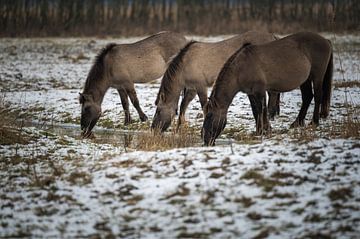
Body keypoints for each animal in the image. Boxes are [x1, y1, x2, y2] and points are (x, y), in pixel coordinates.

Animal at [150, 30, 278, 132]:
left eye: (158, 111)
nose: (154, 129)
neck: (185, 64)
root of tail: (273, 36)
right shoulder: (192, 88)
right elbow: (183, 105)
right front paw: (178, 129)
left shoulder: (201, 86)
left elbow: (204, 106)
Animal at [204, 30, 334, 145]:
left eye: (210, 115)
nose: (206, 140)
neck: (241, 68)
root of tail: (326, 41)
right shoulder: (251, 93)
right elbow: (255, 110)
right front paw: (259, 130)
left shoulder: (260, 91)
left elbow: (262, 110)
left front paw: (265, 130)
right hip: (305, 80)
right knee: (307, 97)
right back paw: (297, 123)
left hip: (317, 76)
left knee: (317, 96)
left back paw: (314, 122)